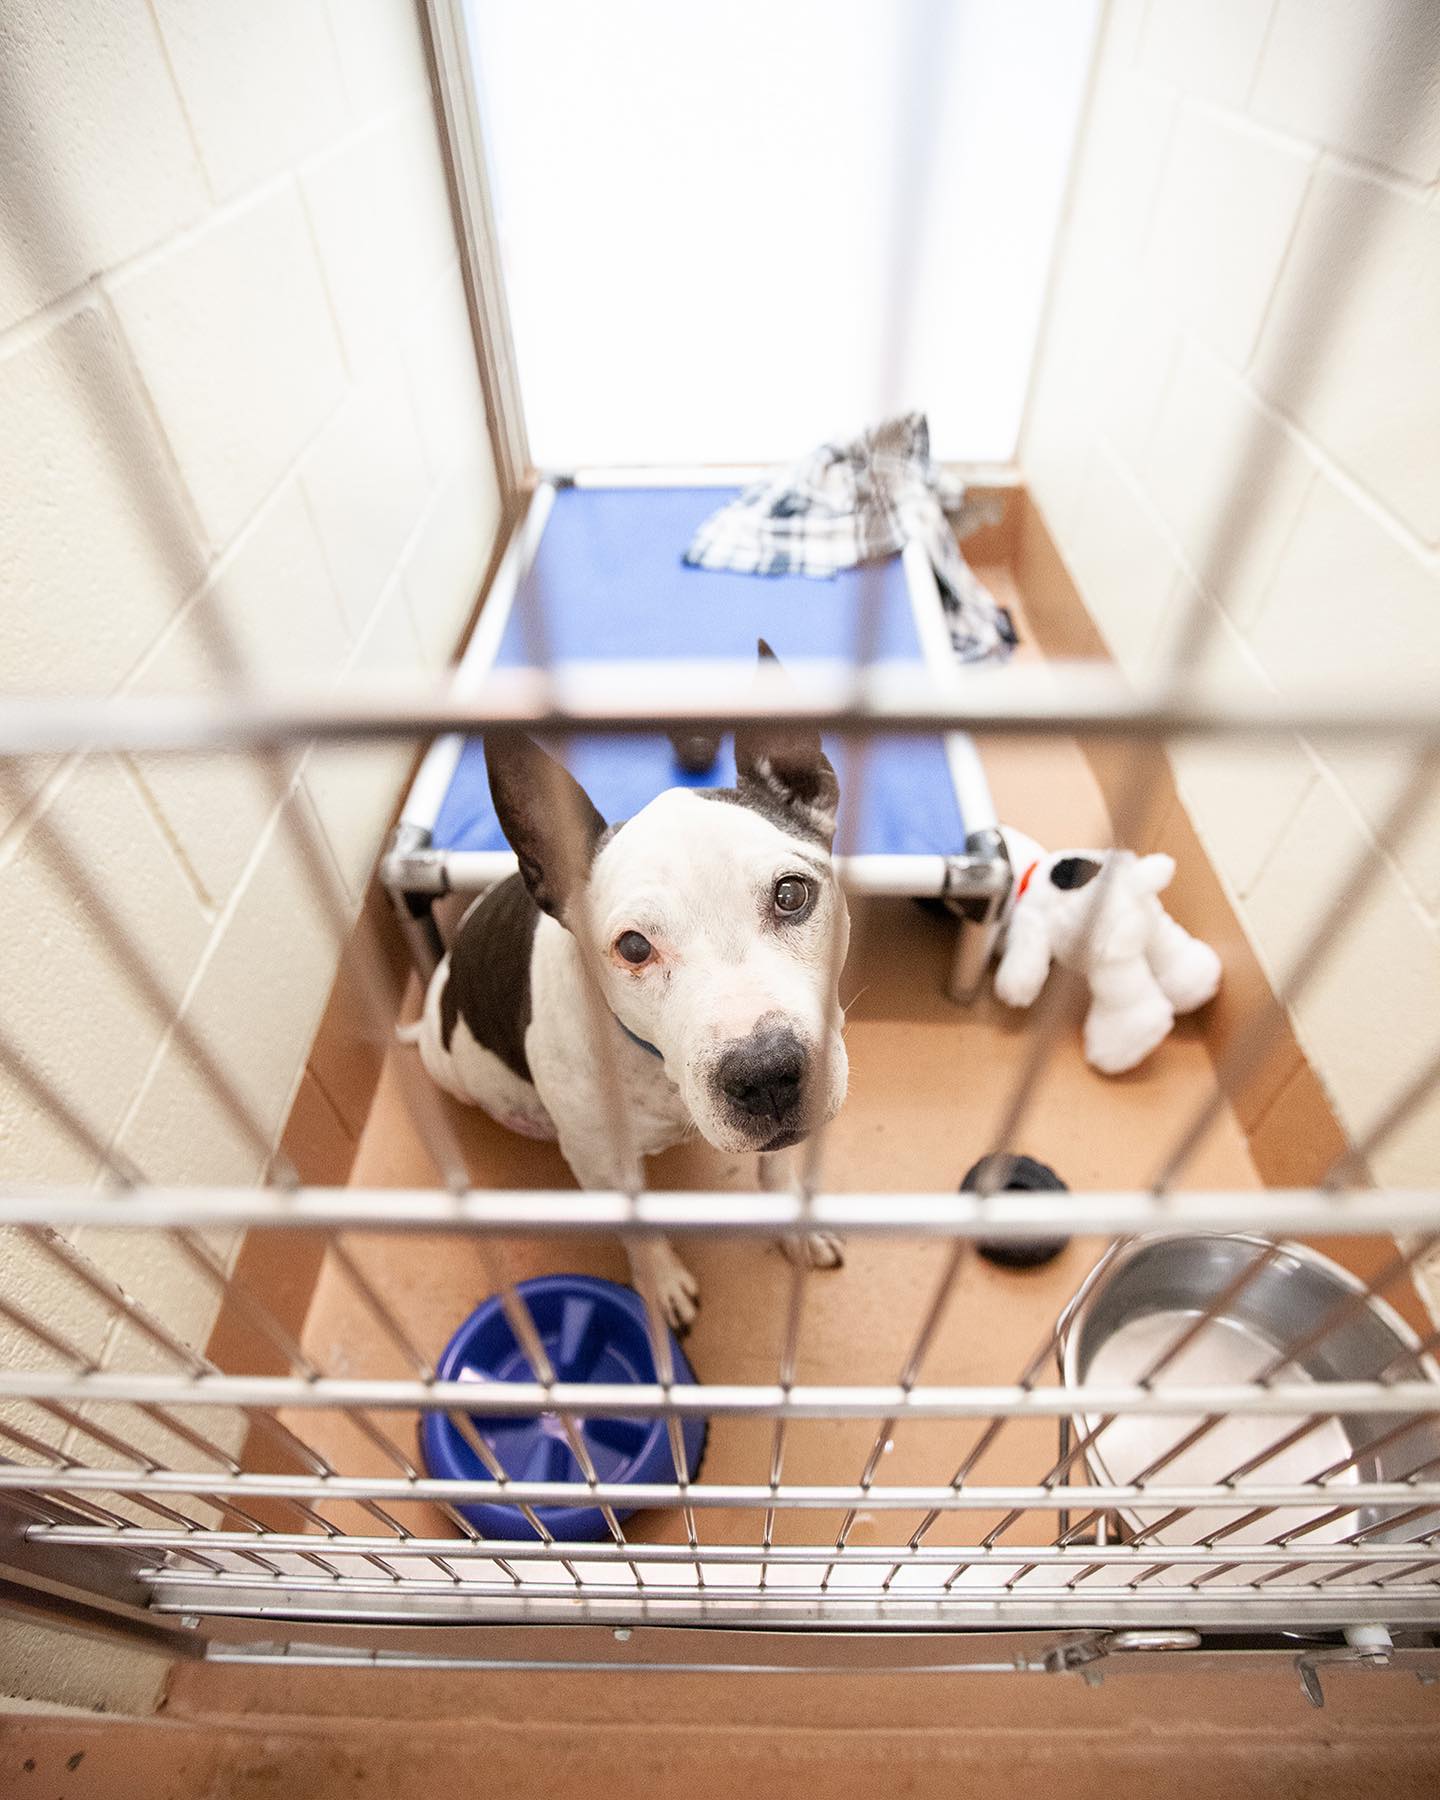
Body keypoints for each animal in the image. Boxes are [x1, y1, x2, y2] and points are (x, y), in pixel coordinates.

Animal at [405, 644, 849, 1324]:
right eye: (634, 947)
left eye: (791, 894)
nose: (767, 1072)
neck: (655, 1069)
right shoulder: (605, 1164)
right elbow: (640, 1233)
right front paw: (661, 1283)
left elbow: (776, 1170)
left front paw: (794, 1226)